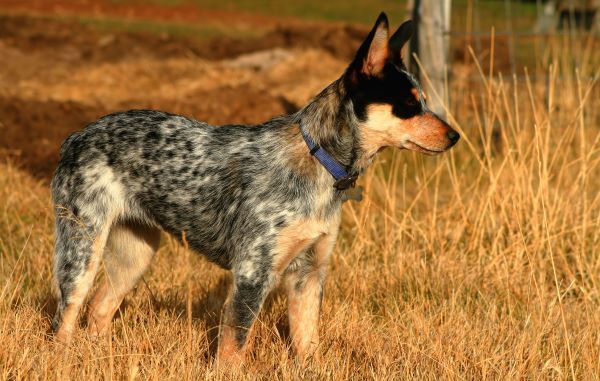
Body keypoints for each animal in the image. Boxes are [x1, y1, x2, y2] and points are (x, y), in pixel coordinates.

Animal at [50, 12, 460, 366]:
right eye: (408, 105)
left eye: (423, 100)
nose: (455, 136)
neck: (318, 161)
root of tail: (75, 136)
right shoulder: (252, 273)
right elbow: (234, 348)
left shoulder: (309, 274)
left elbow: (307, 343)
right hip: (82, 251)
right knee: (64, 319)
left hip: (135, 255)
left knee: (99, 308)